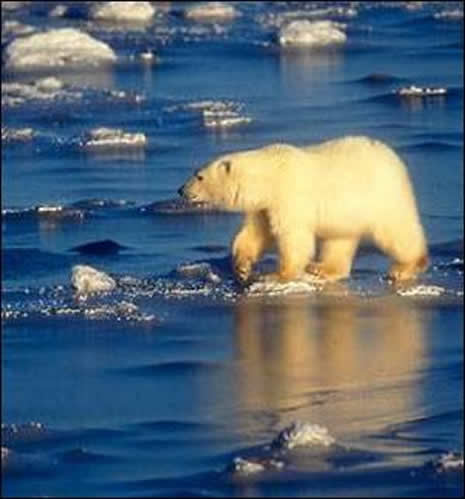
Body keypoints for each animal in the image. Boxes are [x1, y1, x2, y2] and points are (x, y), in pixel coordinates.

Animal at [177, 137, 428, 284]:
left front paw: (277, 275)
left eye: (199, 176)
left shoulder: (288, 196)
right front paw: (242, 268)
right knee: (339, 240)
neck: (268, 175)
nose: (180, 190)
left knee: (396, 230)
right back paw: (323, 269)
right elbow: (255, 233)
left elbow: (293, 237)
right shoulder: (265, 206)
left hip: (381, 197)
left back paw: (405, 267)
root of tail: (394, 159)